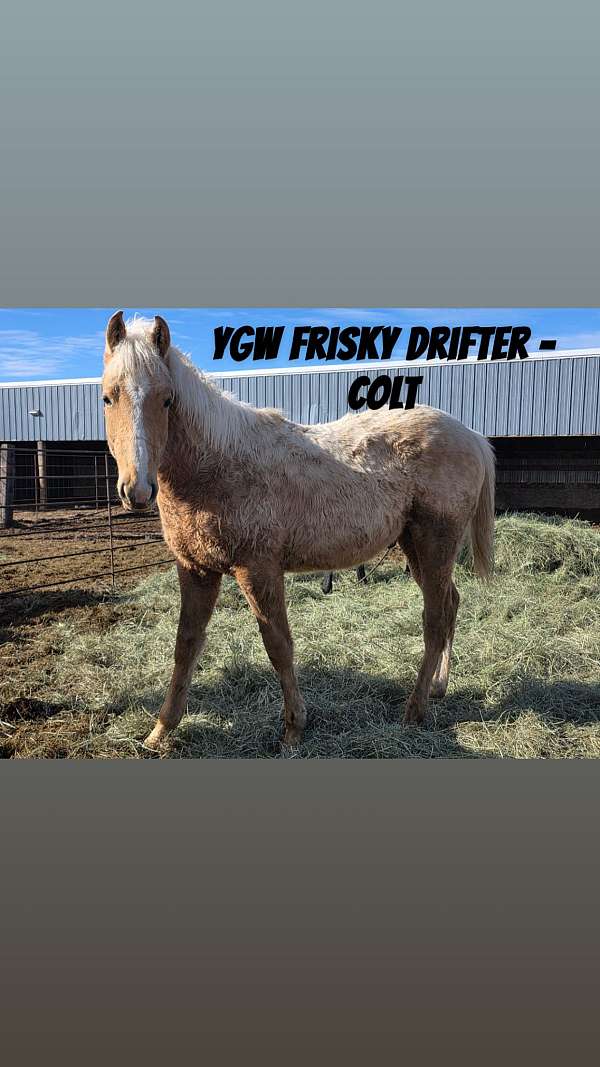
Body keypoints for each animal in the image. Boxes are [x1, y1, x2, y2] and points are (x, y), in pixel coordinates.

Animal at [101, 312, 495, 750]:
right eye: (108, 397)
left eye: (167, 399)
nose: (137, 490)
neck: (216, 466)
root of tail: (471, 435)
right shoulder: (195, 570)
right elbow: (185, 646)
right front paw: (160, 731)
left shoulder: (258, 570)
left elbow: (278, 646)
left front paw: (293, 728)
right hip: (416, 546)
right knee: (451, 604)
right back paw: (439, 687)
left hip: (435, 543)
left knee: (435, 619)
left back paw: (415, 710)